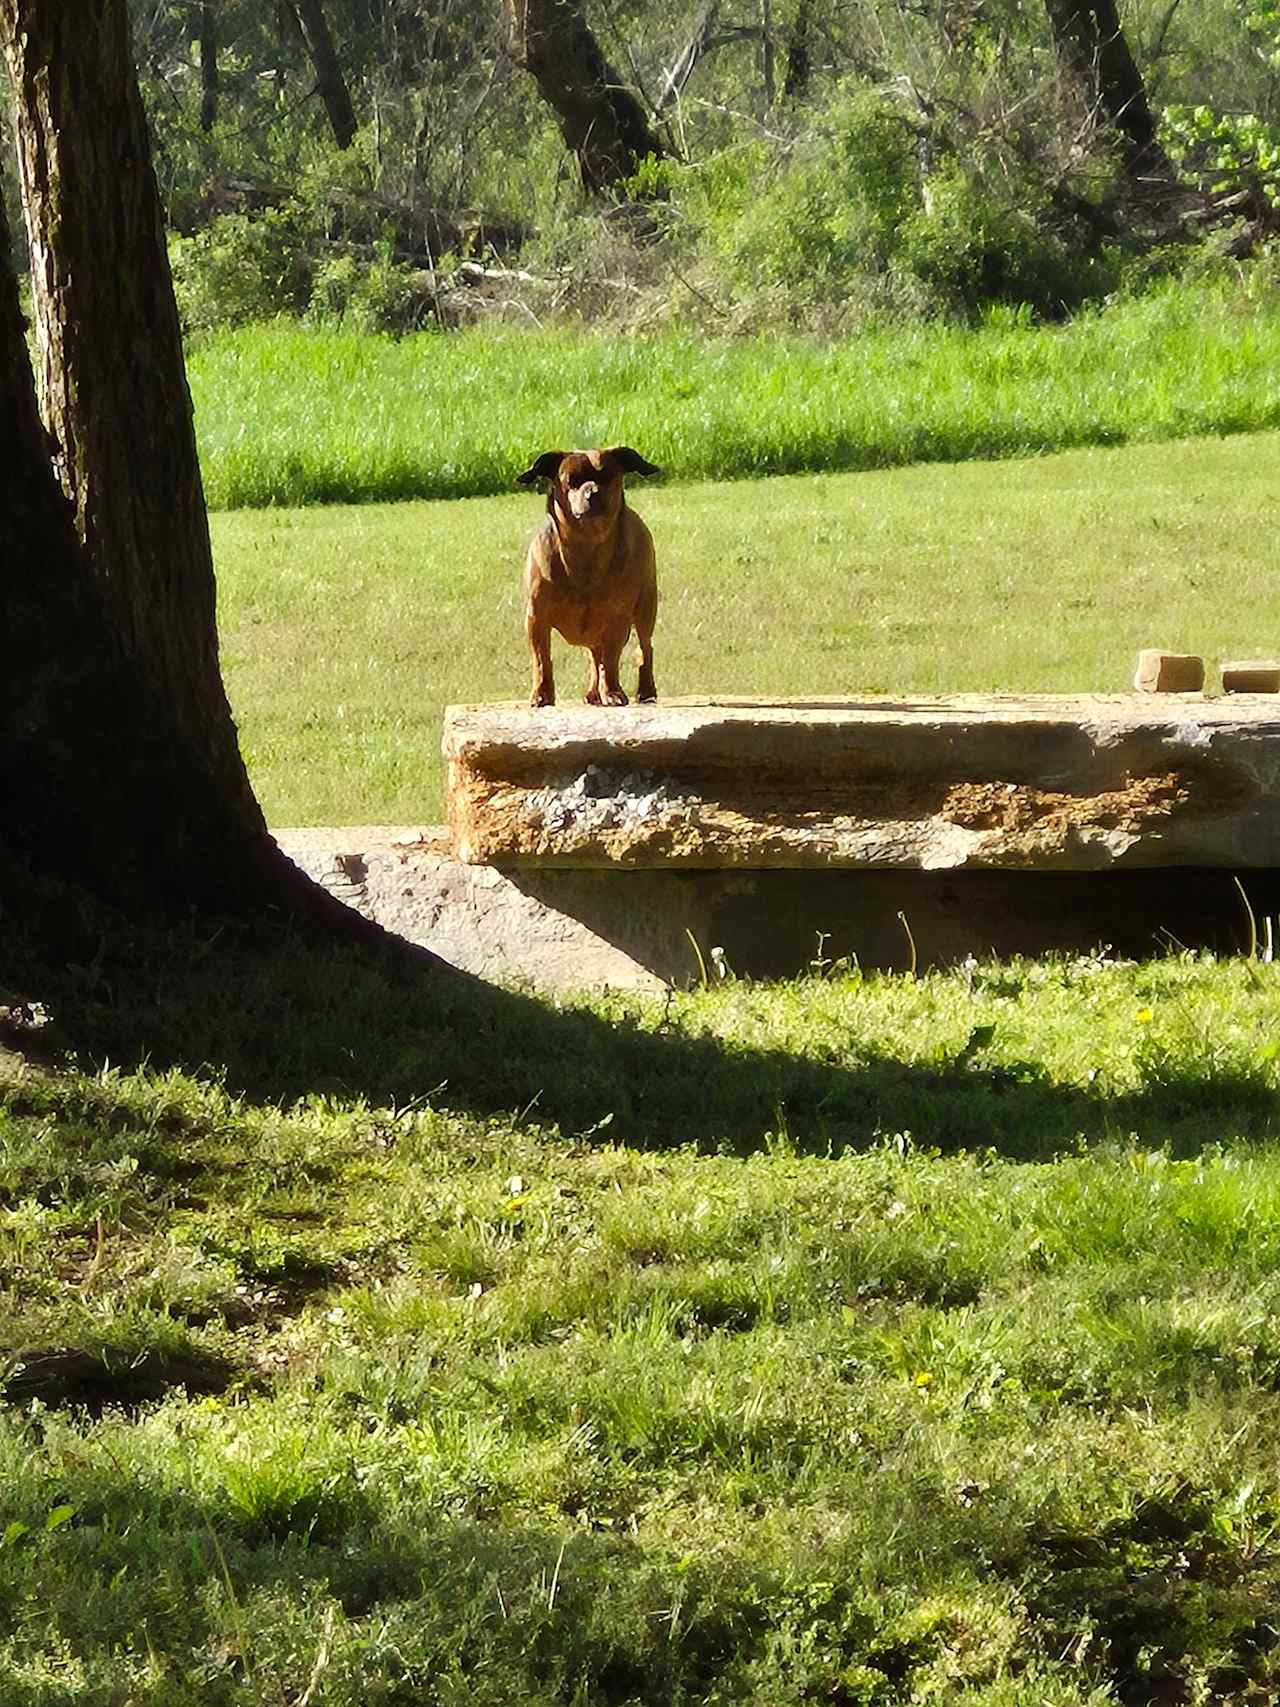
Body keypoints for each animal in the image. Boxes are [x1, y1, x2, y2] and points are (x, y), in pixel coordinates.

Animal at [516, 446, 661, 708]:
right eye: (571, 480)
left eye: (609, 476)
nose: (593, 491)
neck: (586, 547)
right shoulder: (536, 618)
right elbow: (541, 658)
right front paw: (541, 694)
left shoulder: (617, 619)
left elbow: (611, 660)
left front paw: (612, 691)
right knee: (595, 657)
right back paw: (594, 693)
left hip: (646, 607)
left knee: (644, 648)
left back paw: (644, 691)